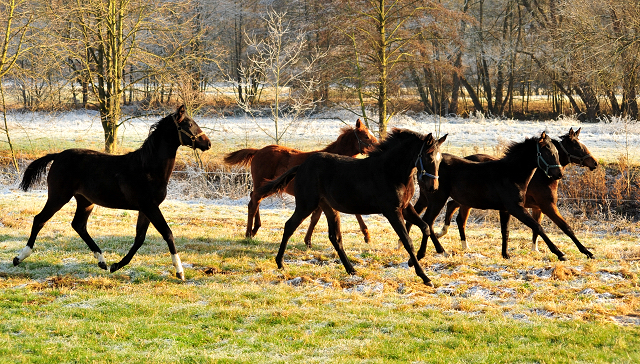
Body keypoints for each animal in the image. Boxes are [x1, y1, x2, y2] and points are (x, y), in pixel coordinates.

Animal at [14, 104, 210, 280]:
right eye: (189, 124)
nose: (207, 143)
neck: (148, 168)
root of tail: (58, 155)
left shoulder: (145, 209)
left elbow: (139, 238)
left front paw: (116, 266)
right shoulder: (150, 207)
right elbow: (167, 233)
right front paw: (180, 272)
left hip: (85, 201)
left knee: (78, 225)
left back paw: (102, 261)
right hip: (58, 196)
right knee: (39, 219)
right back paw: (19, 257)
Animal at [222, 118, 378, 246]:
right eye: (366, 136)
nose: (378, 149)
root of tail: (258, 151)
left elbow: (315, 217)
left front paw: (308, 241)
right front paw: (367, 235)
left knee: (255, 199)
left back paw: (255, 229)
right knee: (253, 202)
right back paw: (249, 233)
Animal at [258, 129, 448, 286]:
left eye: (440, 159)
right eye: (428, 157)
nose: (433, 187)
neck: (391, 172)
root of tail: (301, 166)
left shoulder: (405, 207)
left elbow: (425, 227)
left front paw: (418, 258)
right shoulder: (392, 211)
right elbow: (408, 241)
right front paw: (425, 277)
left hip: (329, 208)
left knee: (335, 237)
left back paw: (351, 269)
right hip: (306, 204)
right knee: (289, 226)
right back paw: (280, 263)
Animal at [410, 132, 564, 264]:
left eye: (557, 152)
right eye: (548, 152)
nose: (559, 174)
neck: (511, 174)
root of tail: (421, 167)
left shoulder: (505, 209)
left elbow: (505, 231)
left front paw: (505, 255)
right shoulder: (516, 208)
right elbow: (538, 227)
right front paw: (560, 254)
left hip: (426, 198)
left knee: (422, 218)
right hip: (437, 199)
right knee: (428, 221)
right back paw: (429, 253)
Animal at [432, 126, 596, 258]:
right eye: (577, 146)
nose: (594, 163)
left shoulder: (537, 208)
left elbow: (536, 228)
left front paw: (535, 249)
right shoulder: (547, 206)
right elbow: (564, 227)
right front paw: (585, 252)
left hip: (465, 200)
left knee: (453, 208)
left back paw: (450, 238)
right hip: (466, 201)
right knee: (458, 217)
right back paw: (451, 239)